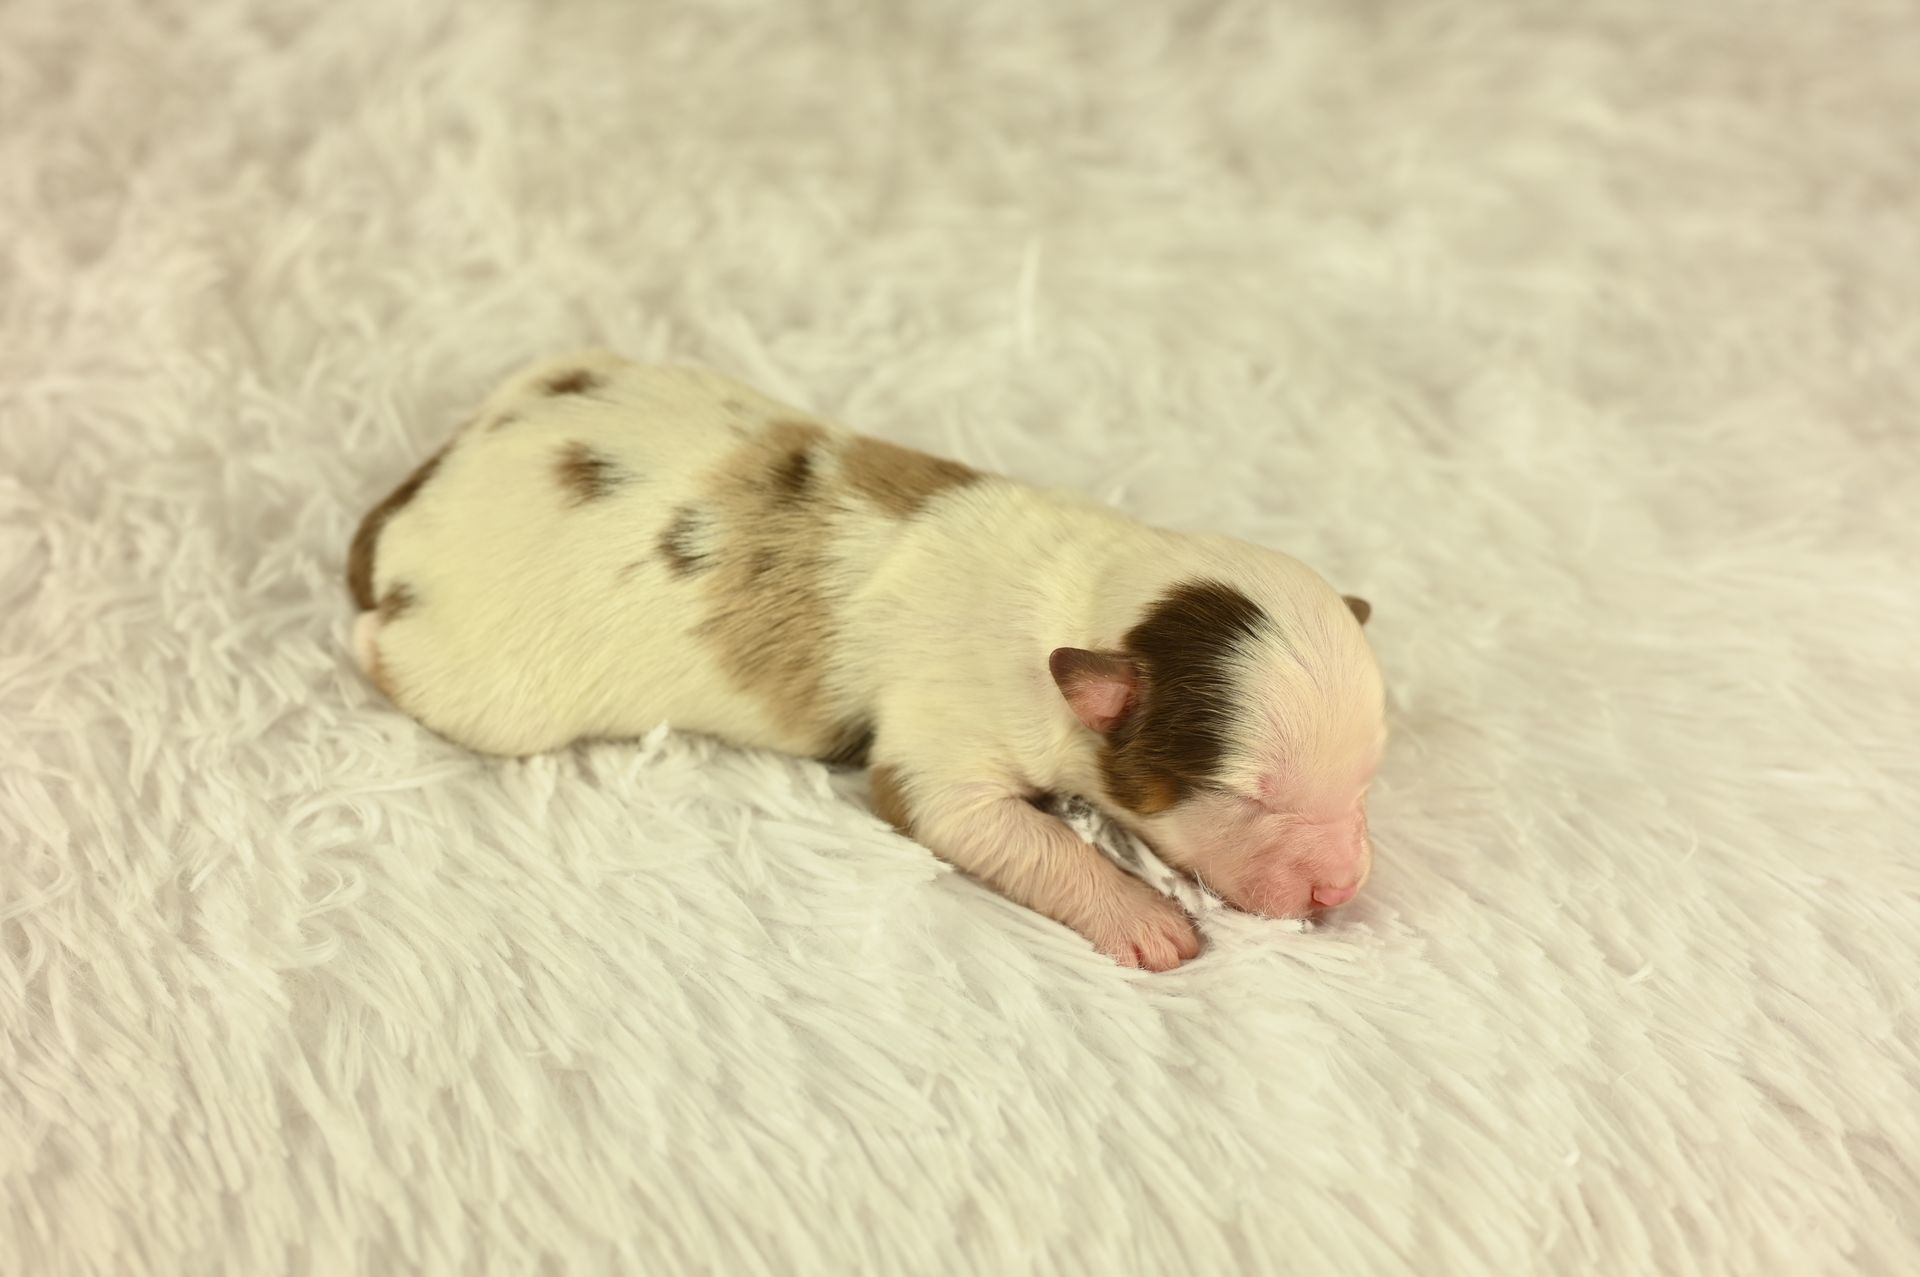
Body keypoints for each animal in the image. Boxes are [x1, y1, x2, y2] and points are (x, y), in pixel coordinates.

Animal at [348, 350, 1385, 970]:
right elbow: (1005, 829)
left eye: (1369, 779)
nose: (1341, 889)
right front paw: (1145, 919)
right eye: (1250, 797)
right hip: (488, 684)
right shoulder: (946, 741)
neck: (1096, 593)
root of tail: (425, 494)